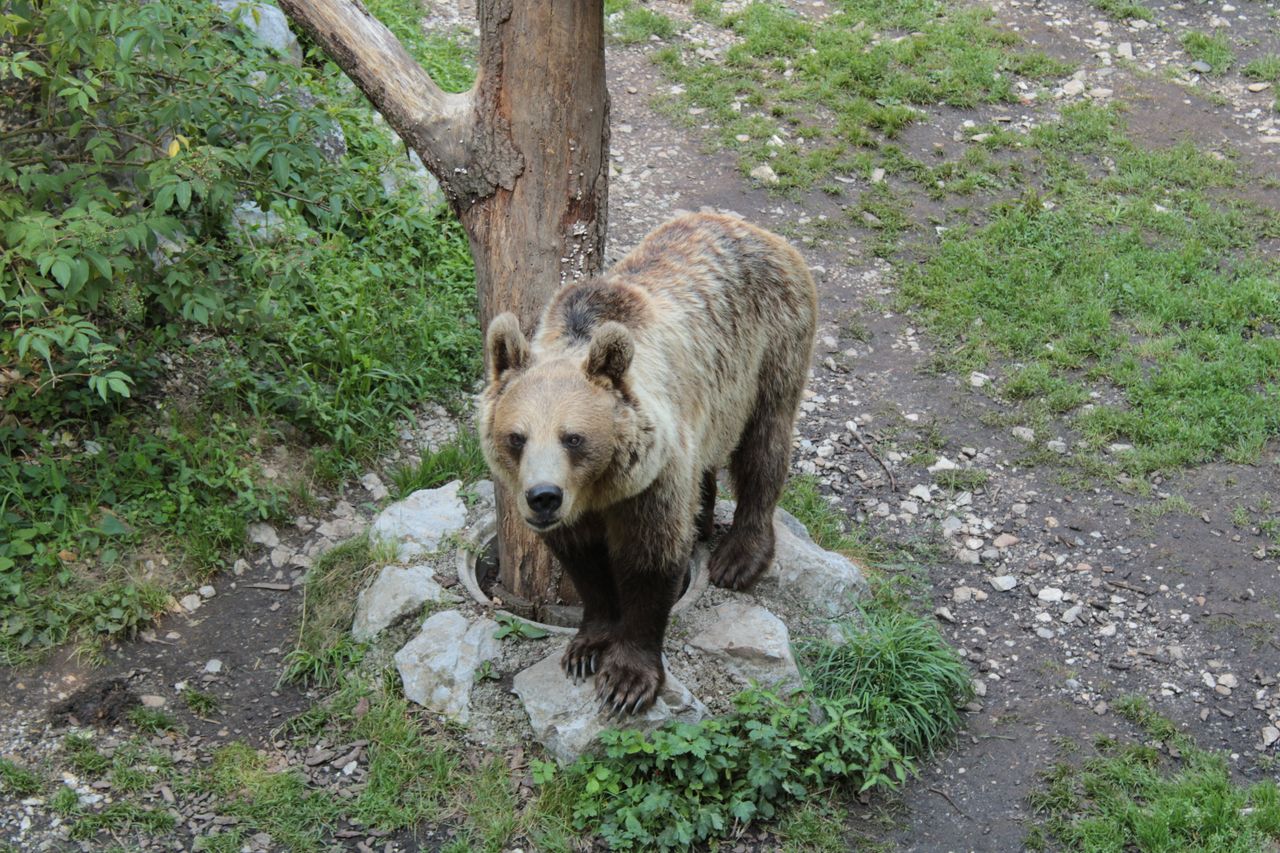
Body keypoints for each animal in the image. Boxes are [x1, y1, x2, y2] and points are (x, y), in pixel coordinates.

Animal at [479, 212, 817, 715]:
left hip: (770, 346)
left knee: (764, 446)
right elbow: (584, 563)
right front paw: (585, 648)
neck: (599, 489)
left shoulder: (653, 478)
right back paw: (703, 520)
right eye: (516, 437)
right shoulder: (580, 510)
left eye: (573, 437)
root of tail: (752, 228)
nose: (542, 497)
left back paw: (738, 557)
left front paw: (627, 681)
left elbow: (650, 559)